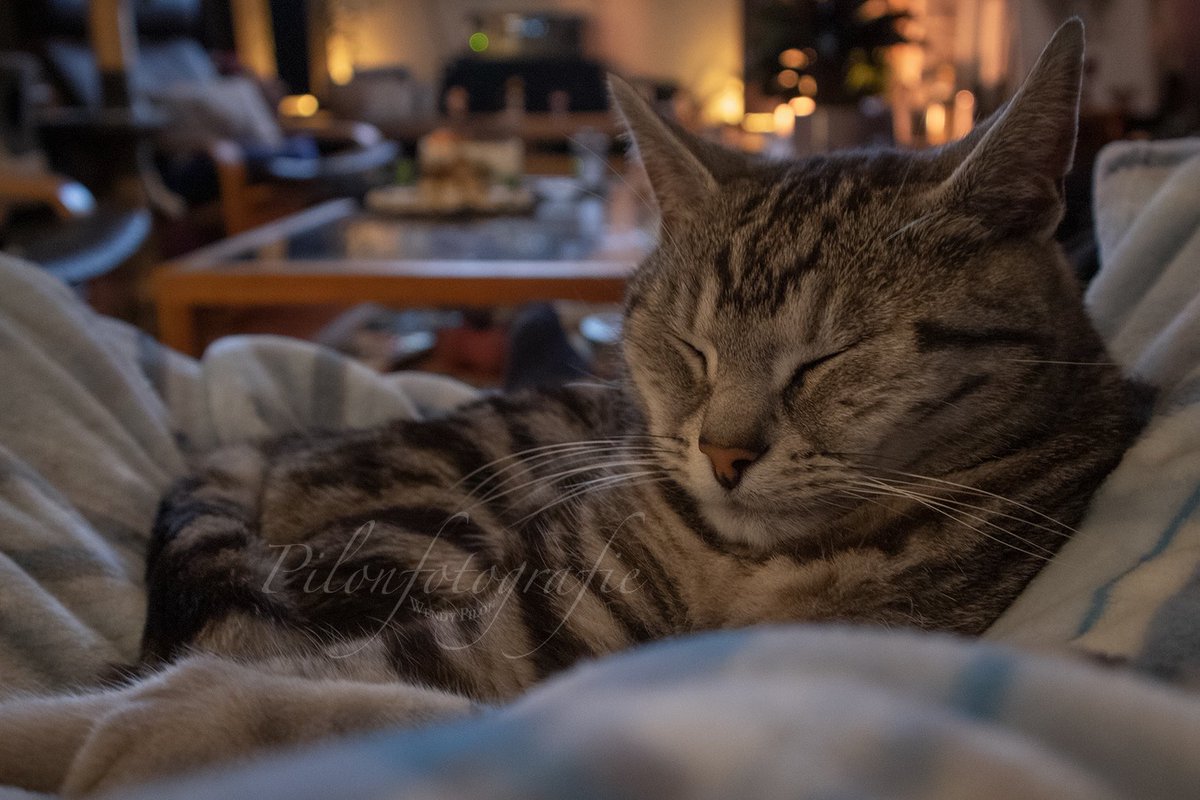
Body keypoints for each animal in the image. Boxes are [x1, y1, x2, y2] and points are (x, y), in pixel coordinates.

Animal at [0, 18, 1142, 796]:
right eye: (687, 346)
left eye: (831, 358)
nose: (723, 452)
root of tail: (286, 442)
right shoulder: (553, 610)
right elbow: (262, 684)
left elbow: (250, 698)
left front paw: (118, 732)